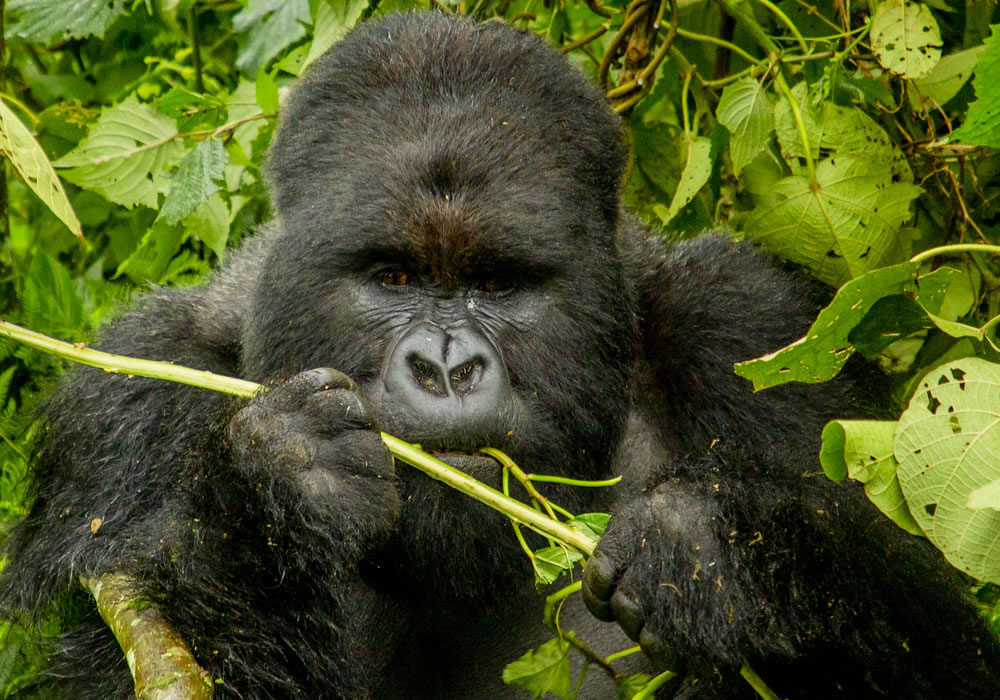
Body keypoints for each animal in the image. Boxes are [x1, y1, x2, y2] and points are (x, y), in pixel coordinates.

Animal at [1, 9, 1000, 700]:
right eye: (395, 276)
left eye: (500, 283)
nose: (446, 368)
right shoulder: (128, 407)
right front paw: (273, 495)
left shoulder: (756, 335)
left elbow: (948, 658)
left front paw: (723, 550)